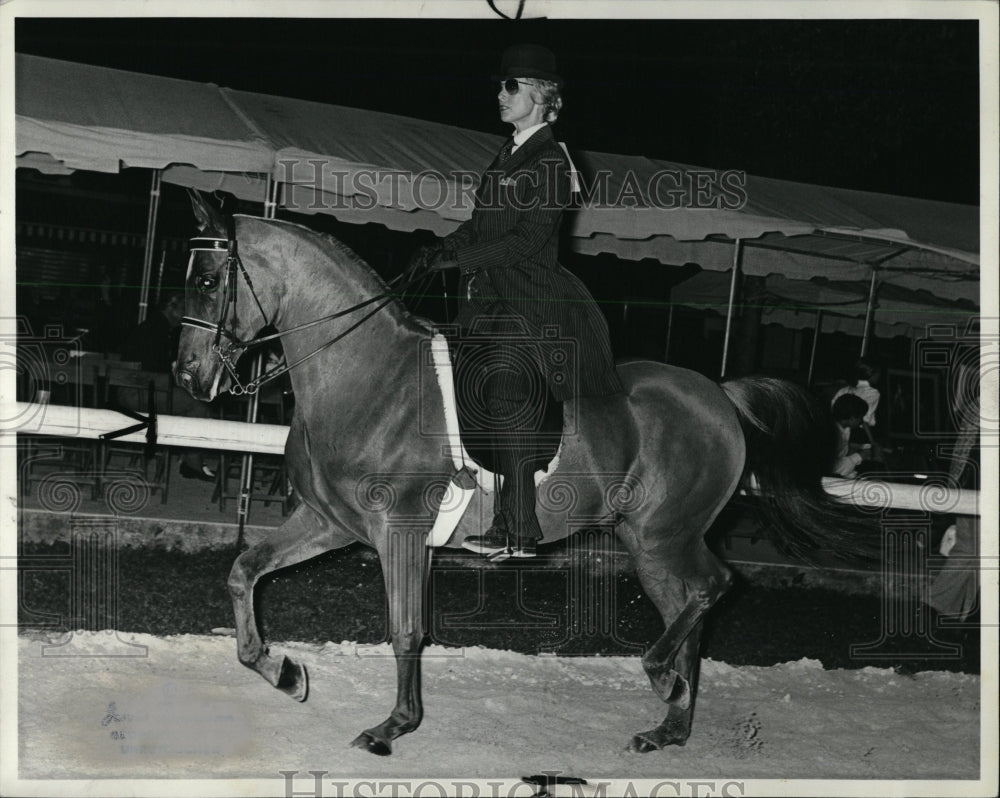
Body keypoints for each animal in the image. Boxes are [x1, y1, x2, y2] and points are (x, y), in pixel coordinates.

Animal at [178, 192, 876, 756]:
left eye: (210, 280)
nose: (189, 376)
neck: (365, 376)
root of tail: (720, 396)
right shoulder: (329, 522)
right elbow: (244, 571)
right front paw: (282, 671)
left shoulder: (400, 534)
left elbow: (406, 629)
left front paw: (392, 727)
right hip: (647, 542)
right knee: (691, 607)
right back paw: (669, 723)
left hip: (665, 534)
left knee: (713, 585)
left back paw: (662, 680)